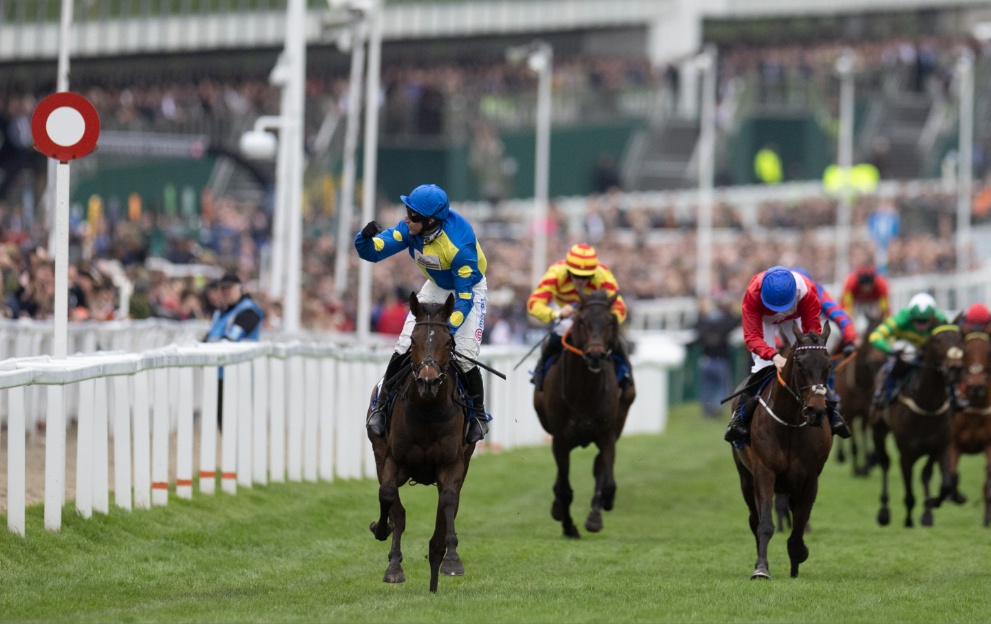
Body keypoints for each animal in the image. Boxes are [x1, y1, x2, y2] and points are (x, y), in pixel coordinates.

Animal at [368, 294, 476, 592]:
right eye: (413, 341)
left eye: (448, 342)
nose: (428, 381)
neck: (428, 410)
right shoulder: (394, 460)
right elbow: (388, 496)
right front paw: (384, 538)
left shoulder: (452, 464)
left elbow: (448, 502)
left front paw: (451, 559)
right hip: (380, 452)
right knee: (396, 507)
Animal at [536, 288, 636, 536]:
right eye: (581, 320)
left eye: (611, 321)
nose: (595, 355)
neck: (584, 394)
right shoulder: (560, 439)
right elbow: (564, 487)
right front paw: (568, 526)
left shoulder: (607, 435)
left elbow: (606, 480)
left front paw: (596, 516)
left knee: (599, 468)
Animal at [732, 324, 832, 576]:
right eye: (800, 364)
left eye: (828, 364)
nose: (816, 411)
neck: (790, 421)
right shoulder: (764, 471)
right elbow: (765, 524)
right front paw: (761, 568)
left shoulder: (810, 478)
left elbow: (800, 524)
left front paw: (798, 558)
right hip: (746, 478)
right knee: (754, 518)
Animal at [872, 324, 964, 528]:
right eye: (937, 341)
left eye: (959, 338)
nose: (955, 367)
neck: (928, 405)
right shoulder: (906, 453)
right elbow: (909, 492)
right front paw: (908, 520)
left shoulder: (940, 446)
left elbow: (941, 482)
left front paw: (931, 507)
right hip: (878, 430)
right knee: (884, 463)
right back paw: (883, 512)